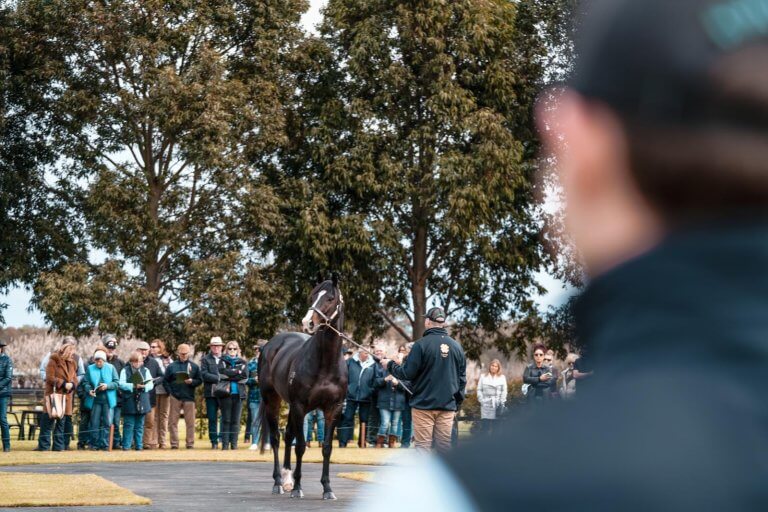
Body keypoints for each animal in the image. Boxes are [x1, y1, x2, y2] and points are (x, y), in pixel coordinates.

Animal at [258, 274, 348, 498]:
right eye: (313, 296)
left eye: (330, 298)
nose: (308, 322)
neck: (326, 364)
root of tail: (270, 345)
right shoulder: (300, 406)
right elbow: (300, 446)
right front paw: (298, 487)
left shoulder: (334, 409)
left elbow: (326, 448)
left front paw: (327, 488)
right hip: (272, 400)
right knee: (276, 438)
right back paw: (279, 482)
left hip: (291, 406)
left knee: (288, 434)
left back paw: (287, 478)